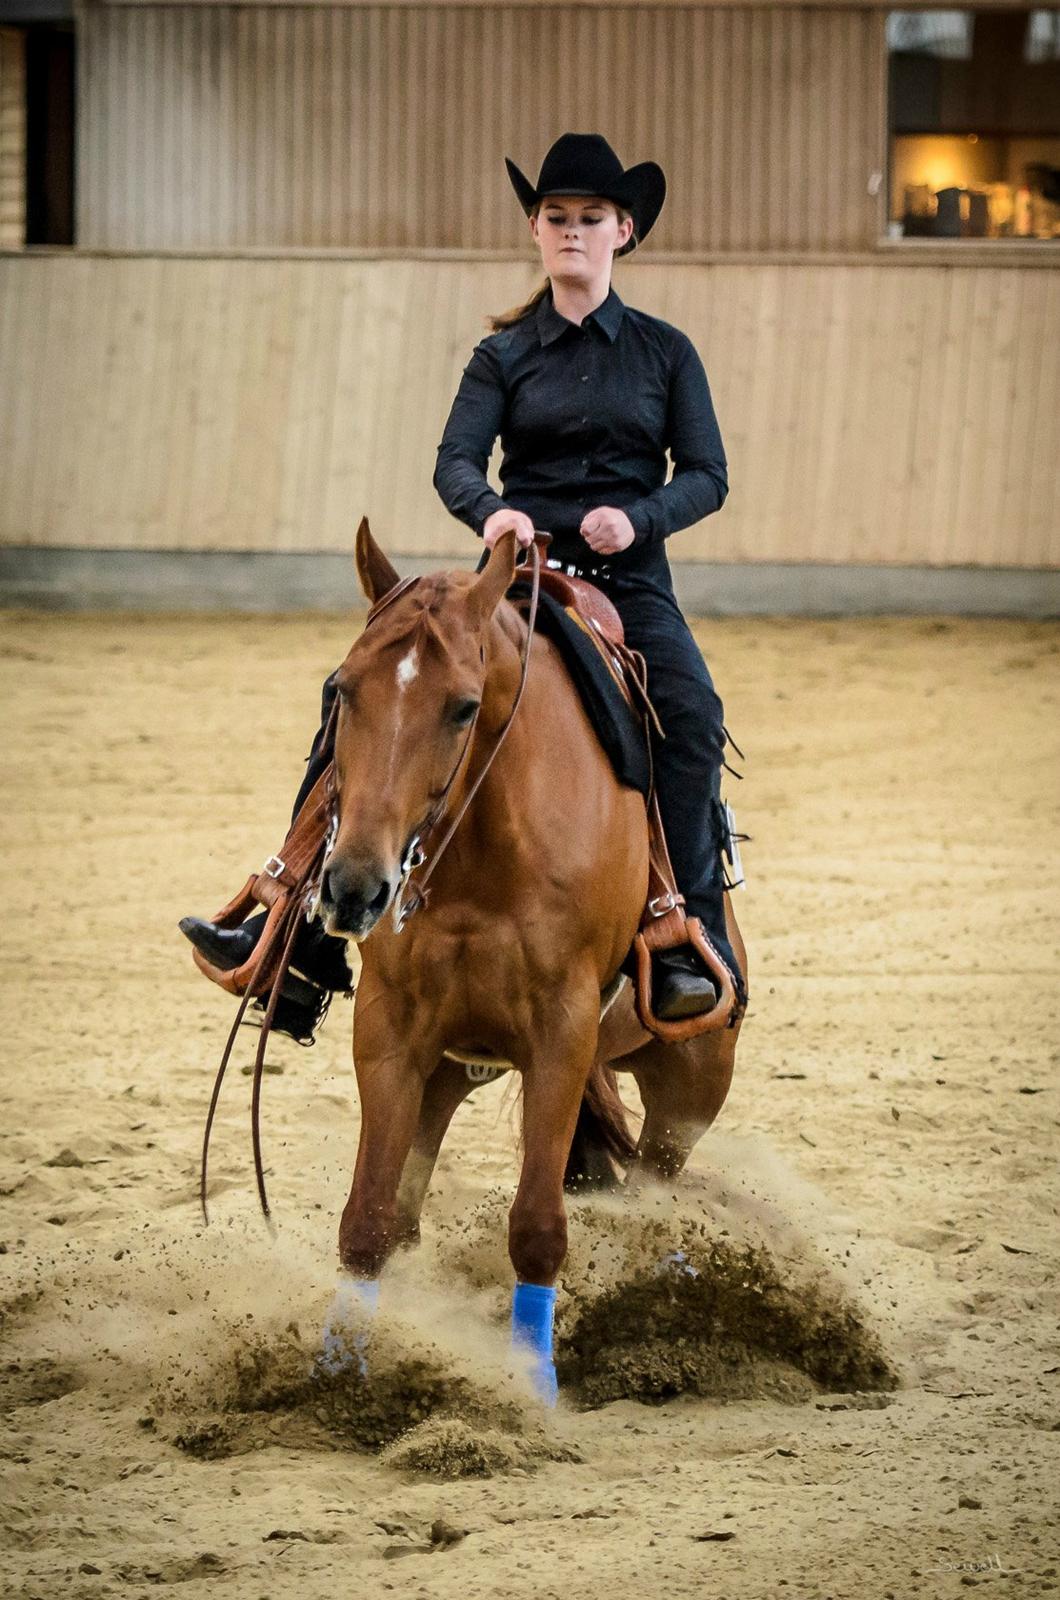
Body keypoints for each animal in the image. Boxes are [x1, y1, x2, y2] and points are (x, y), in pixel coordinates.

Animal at [320, 524, 742, 1401]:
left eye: (463, 706)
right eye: (342, 690)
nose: (353, 886)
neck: (486, 850)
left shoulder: (563, 1035)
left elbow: (539, 1229)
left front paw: (532, 1387)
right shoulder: (390, 1033)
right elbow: (369, 1219)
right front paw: (334, 1375)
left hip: (691, 1087)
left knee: (654, 1197)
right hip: (450, 1071)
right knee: (406, 1212)